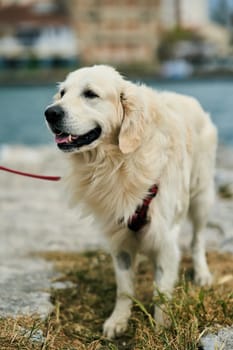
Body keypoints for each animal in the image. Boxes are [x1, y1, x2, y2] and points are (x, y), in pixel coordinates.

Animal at [45, 64, 217, 338]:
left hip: (201, 196)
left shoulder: (164, 238)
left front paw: (161, 327)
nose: (50, 113)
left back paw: (202, 274)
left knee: (198, 240)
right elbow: (124, 288)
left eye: (90, 94)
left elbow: (161, 292)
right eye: (62, 93)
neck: (116, 162)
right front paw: (118, 320)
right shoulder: (120, 238)